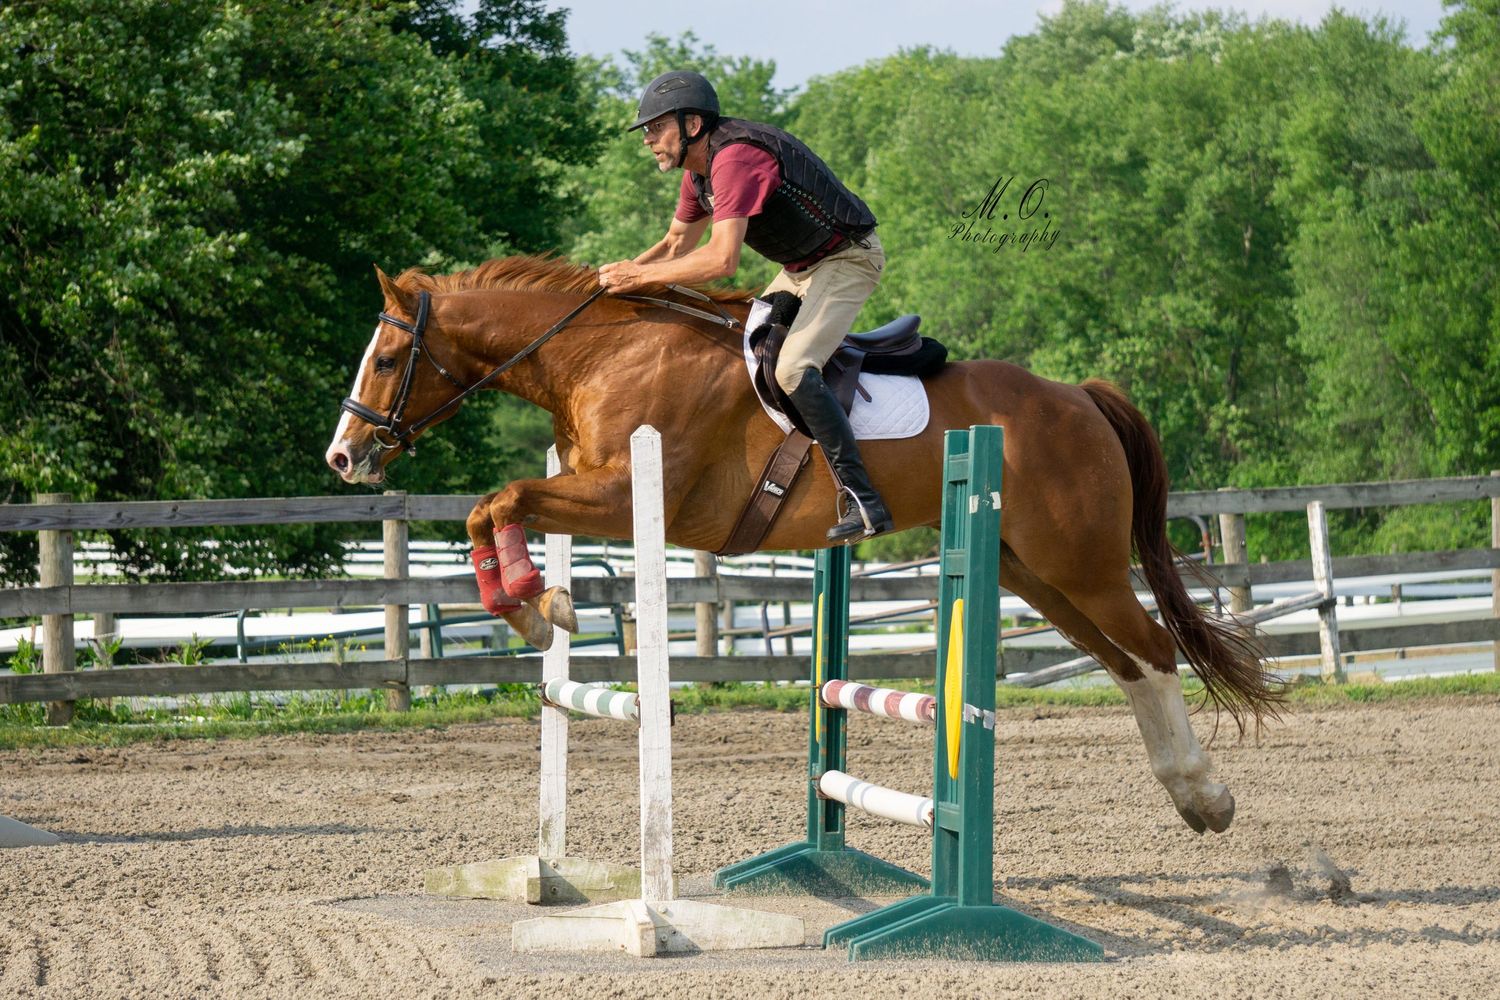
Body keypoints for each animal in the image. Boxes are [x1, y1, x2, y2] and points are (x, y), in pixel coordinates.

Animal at [325, 254, 1279, 835]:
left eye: (386, 359)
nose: (344, 455)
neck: (603, 352)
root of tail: (1078, 395)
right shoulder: (591, 488)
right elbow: (490, 507)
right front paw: (528, 608)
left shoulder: (628, 493)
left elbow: (504, 497)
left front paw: (537, 602)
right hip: (1036, 574)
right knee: (1125, 662)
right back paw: (1193, 797)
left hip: (1080, 564)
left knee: (1152, 649)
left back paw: (1210, 794)